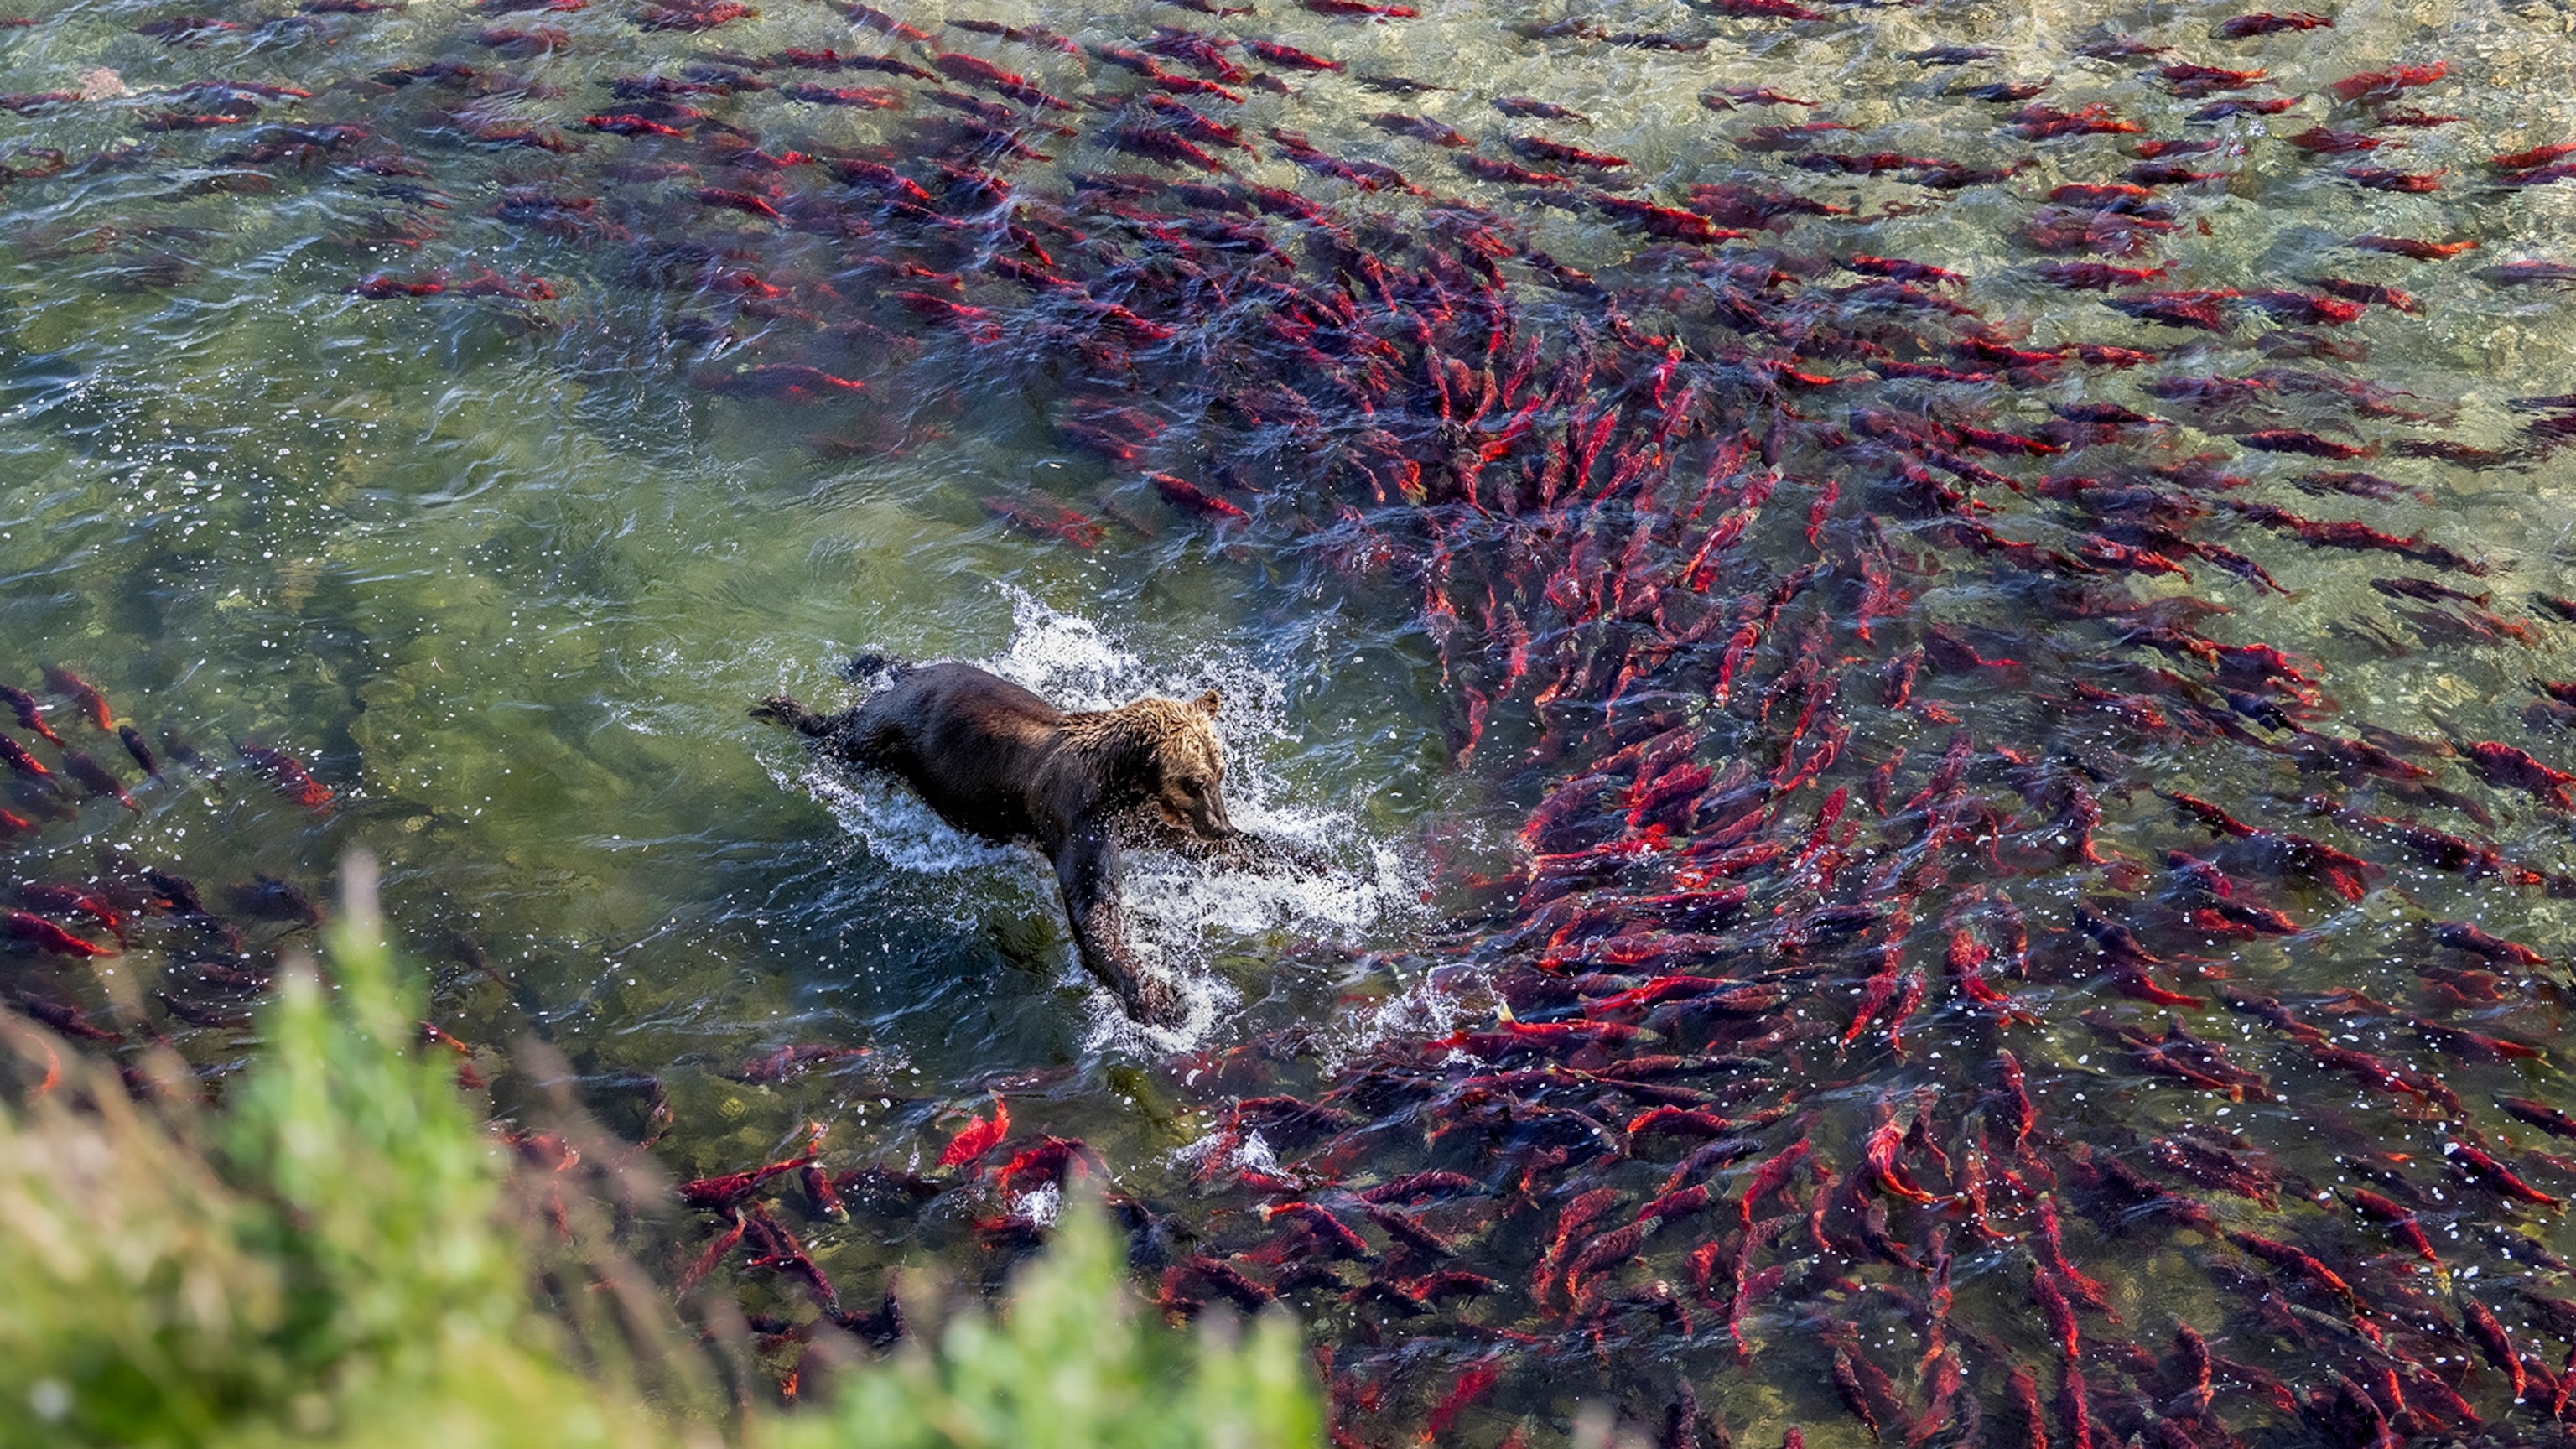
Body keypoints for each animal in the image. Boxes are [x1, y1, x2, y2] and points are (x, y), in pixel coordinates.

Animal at [754, 655, 1310, 1026]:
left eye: (1220, 772)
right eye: (1194, 780)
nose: (1220, 822)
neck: (1122, 786)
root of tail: (910, 678)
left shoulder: (1143, 820)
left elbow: (1218, 852)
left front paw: (1310, 865)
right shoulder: (1078, 820)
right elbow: (1095, 906)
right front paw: (1159, 998)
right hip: (889, 734)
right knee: (842, 736)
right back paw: (780, 707)